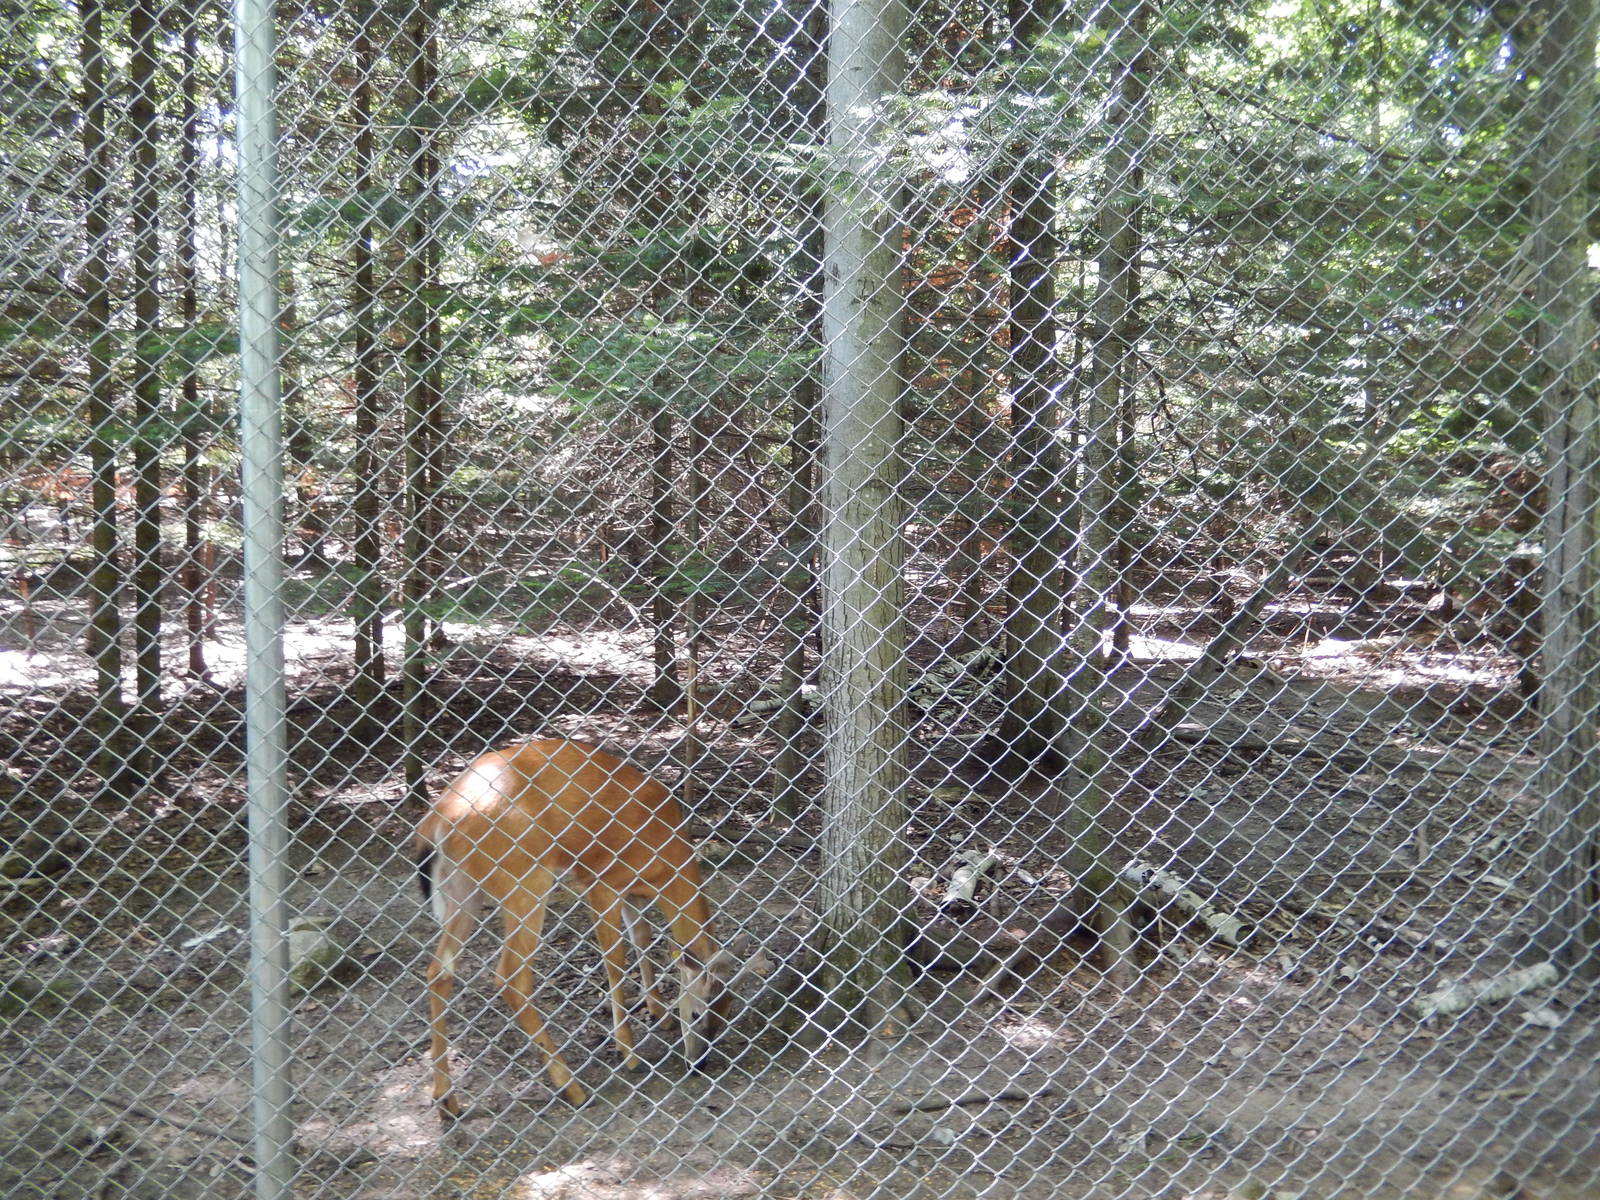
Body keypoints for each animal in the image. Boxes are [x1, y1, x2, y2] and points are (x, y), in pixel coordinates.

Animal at [416, 738, 732, 1117]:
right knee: (510, 975)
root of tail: (437, 820)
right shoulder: (602, 881)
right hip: (525, 879)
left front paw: (659, 1012)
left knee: (439, 970)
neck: (667, 860)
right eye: (697, 1012)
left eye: (724, 1017)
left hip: (464, 888)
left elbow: (642, 940)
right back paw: (573, 1088)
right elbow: (615, 961)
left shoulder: (634, 894)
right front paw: (628, 1053)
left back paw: (446, 1098)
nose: (698, 1065)